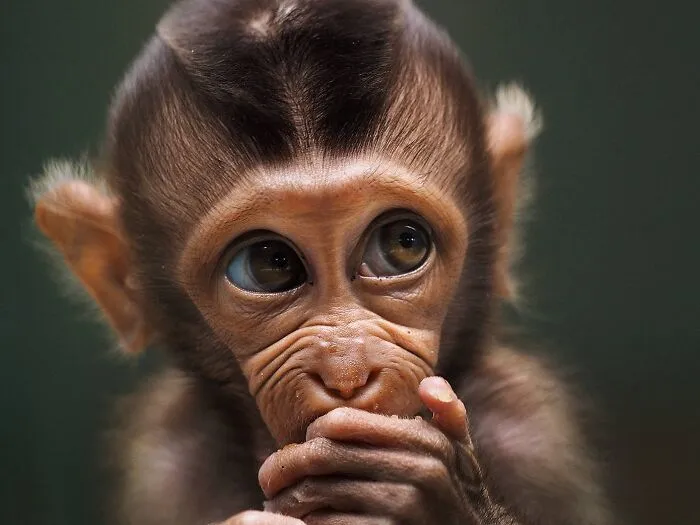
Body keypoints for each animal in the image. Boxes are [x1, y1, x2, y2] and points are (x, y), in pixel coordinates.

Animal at [30, 0, 610, 524]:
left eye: (403, 243)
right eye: (269, 263)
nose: (347, 374)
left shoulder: (534, 434)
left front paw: (422, 493)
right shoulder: (160, 465)